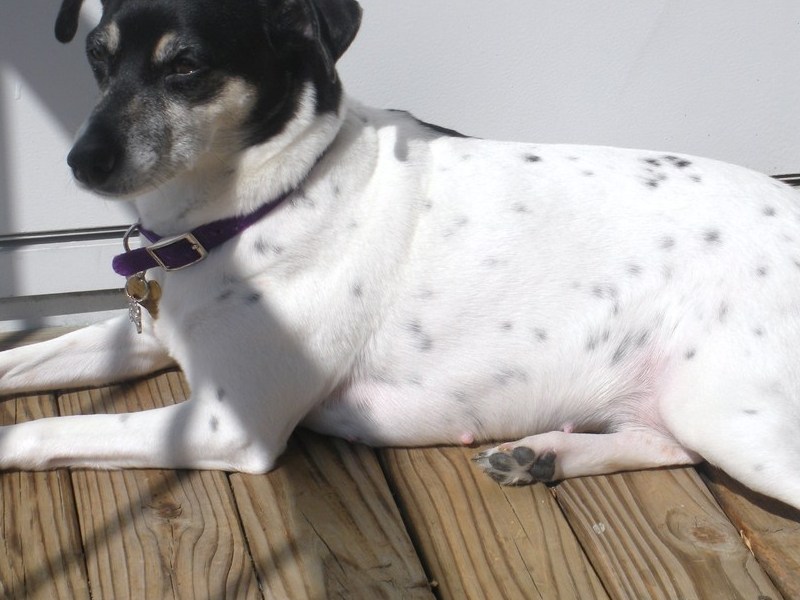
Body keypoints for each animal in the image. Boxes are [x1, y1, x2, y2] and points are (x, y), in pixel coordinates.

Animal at [1, 0, 800, 510]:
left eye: (187, 67)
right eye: (96, 58)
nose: (81, 161)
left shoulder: (231, 425)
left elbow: (46, 426)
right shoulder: (149, 337)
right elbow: (24, 362)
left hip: (731, 415)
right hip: (691, 405)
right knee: (668, 445)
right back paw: (542, 456)